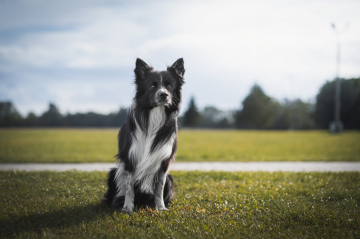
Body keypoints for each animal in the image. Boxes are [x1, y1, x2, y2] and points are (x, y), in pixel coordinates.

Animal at [102, 58, 184, 213]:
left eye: (170, 85)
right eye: (152, 85)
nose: (163, 95)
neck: (155, 115)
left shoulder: (164, 162)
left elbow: (159, 188)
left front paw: (160, 207)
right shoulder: (130, 158)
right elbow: (129, 188)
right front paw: (128, 208)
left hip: (170, 179)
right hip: (114, 172)